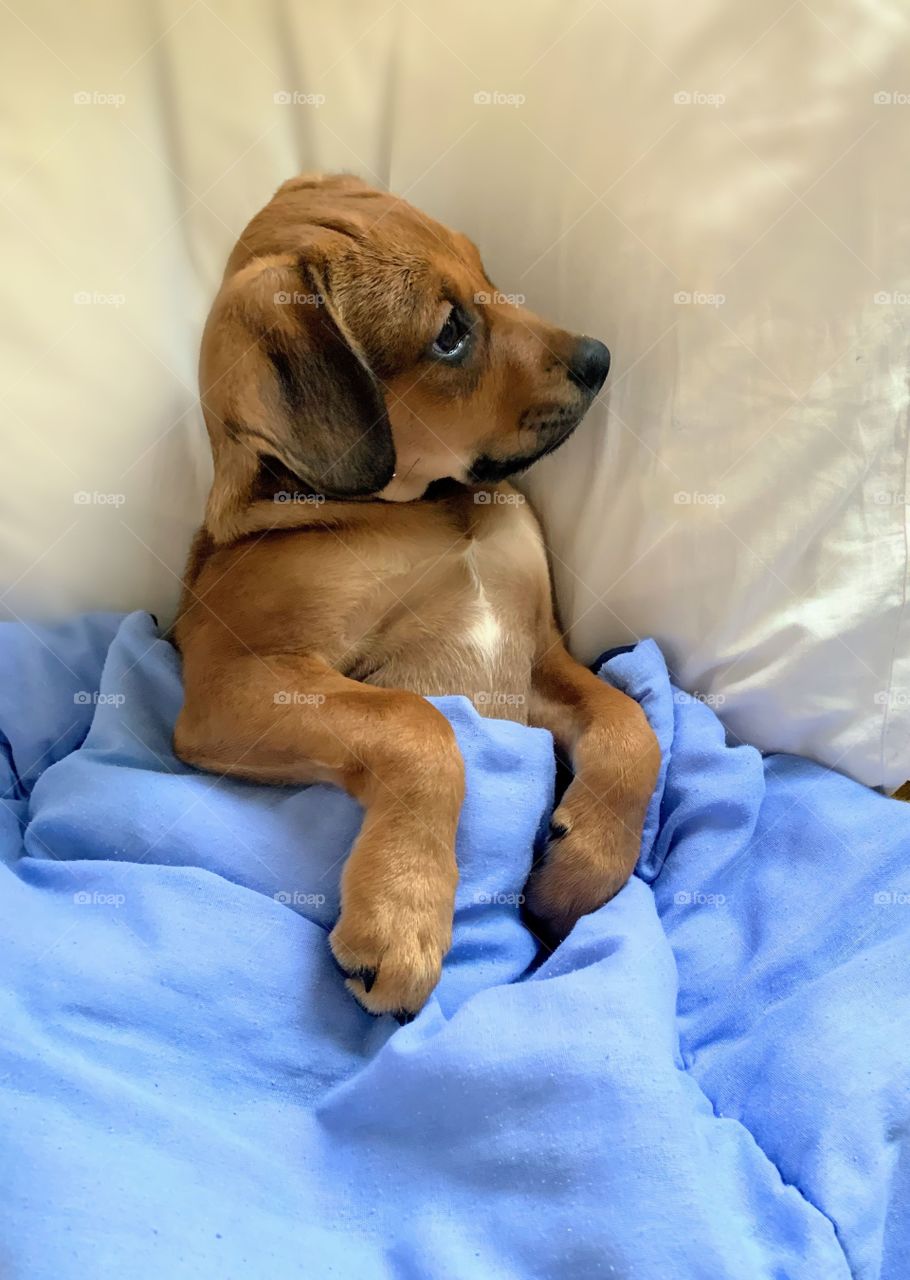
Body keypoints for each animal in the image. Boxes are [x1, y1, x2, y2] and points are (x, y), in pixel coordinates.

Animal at [171, 175, 660, 1018]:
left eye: (483, 267)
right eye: (451, 334)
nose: (599, 358)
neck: (433, 508)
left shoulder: (540, 655)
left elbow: (633, 728)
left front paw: (585, 870)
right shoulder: (238, 682)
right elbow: (418, 725)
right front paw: (402, 914)